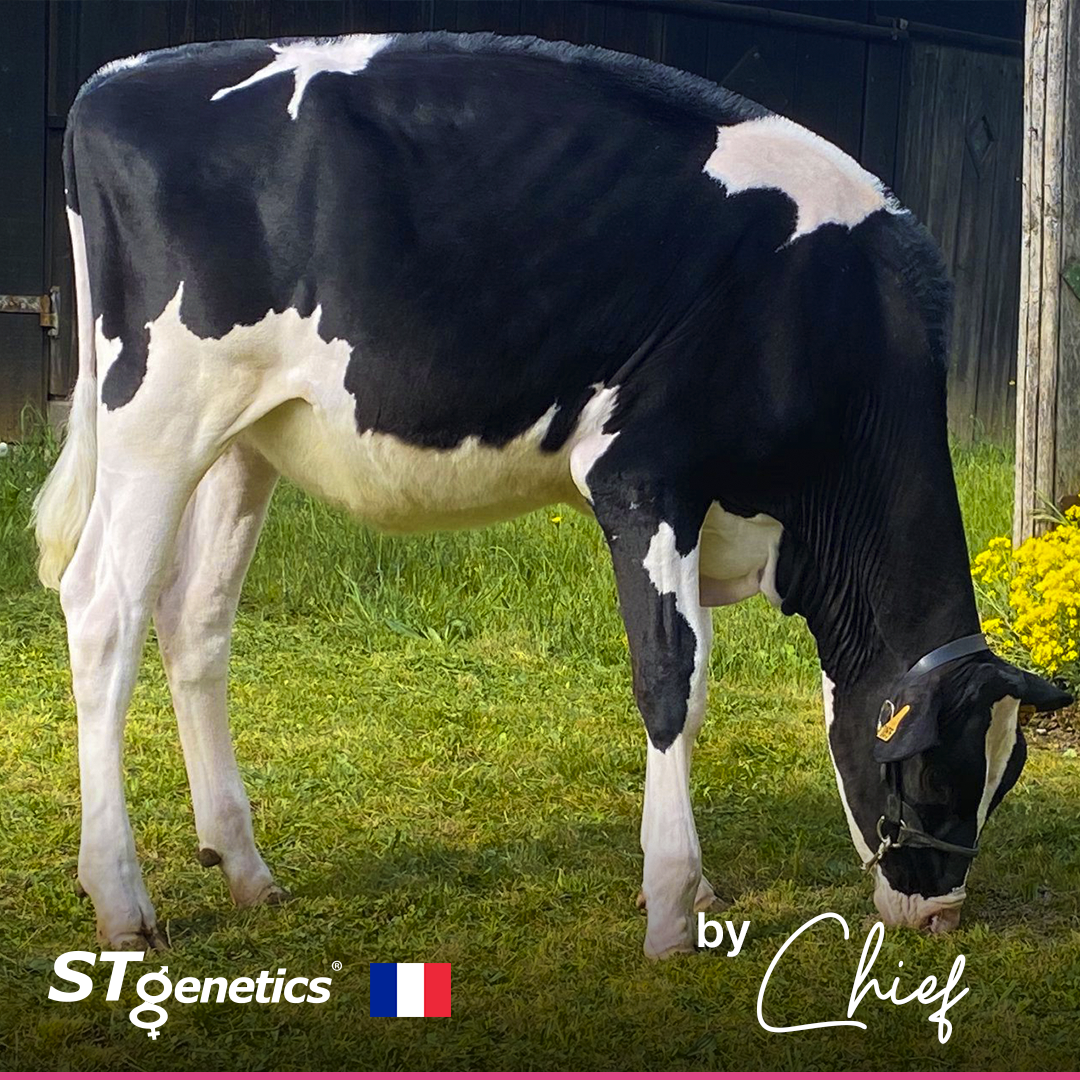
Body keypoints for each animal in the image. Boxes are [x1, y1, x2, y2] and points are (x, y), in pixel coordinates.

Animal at [34, 31, 1071, 959]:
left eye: (1003, 780)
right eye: (931, 777)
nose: (939, 917)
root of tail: (118, 77)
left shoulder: (700, 509)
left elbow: (697, 684)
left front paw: (694, 885)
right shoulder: (642, 476)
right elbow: (669, 681)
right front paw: (669, 912)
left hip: (243, 438)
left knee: (195, 619)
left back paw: (246, 869)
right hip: (158, 414)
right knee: (104, 609)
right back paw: (122, 904)